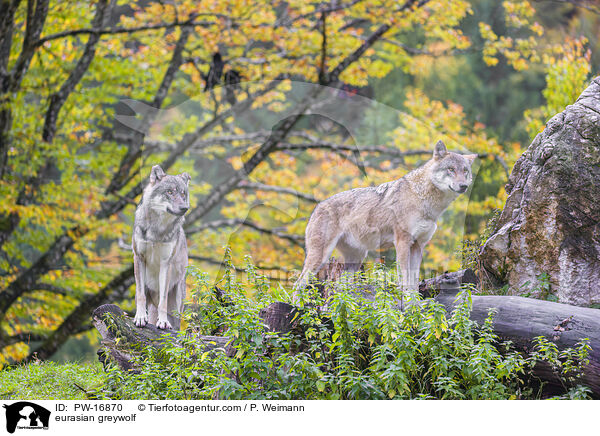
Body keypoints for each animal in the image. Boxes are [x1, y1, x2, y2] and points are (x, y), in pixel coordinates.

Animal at [133, 165, 190, 328]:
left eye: (183, 194)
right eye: (170, 192)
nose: (185, 207)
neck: (157, 230)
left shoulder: (166, 263)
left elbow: (163, 302)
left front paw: (163, 322)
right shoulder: (139, 258)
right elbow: (140, 296)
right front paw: (140, 318)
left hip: (177, 302)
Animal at [292, 141, 476, 294]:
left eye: (465, 171)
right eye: (451, 169)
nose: (463, 186)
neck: (425, 201)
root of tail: (317, 207)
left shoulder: (418, 245)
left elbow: (414, 281)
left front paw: (416, 305)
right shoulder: (402, 242)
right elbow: (405, 279)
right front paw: (408, 303)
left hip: (356, 259)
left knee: (339, 287)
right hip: (321, 257)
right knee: (297, 285)